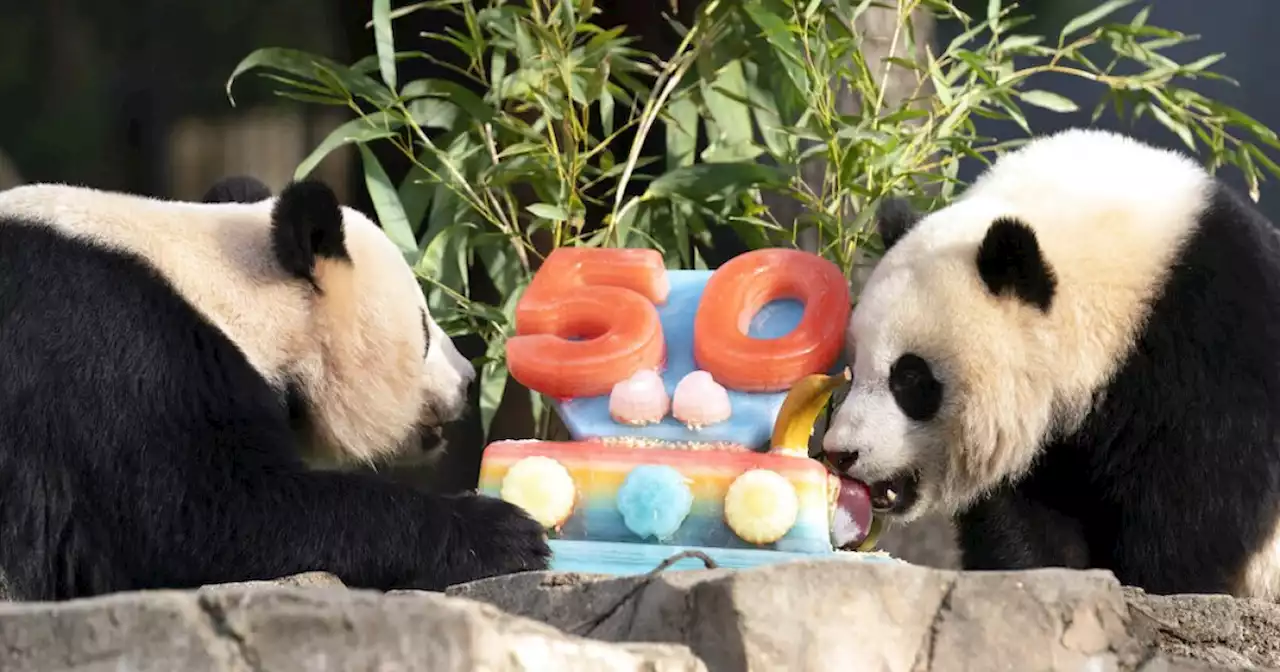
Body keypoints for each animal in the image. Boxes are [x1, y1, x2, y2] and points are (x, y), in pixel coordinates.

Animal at [819, 127, 1280, 596]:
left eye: (910, 377)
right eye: (854, 368)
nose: (842, 453)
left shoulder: (1209, 345)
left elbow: (1198, 496)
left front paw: (1158, 583)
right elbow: (1028, 513)